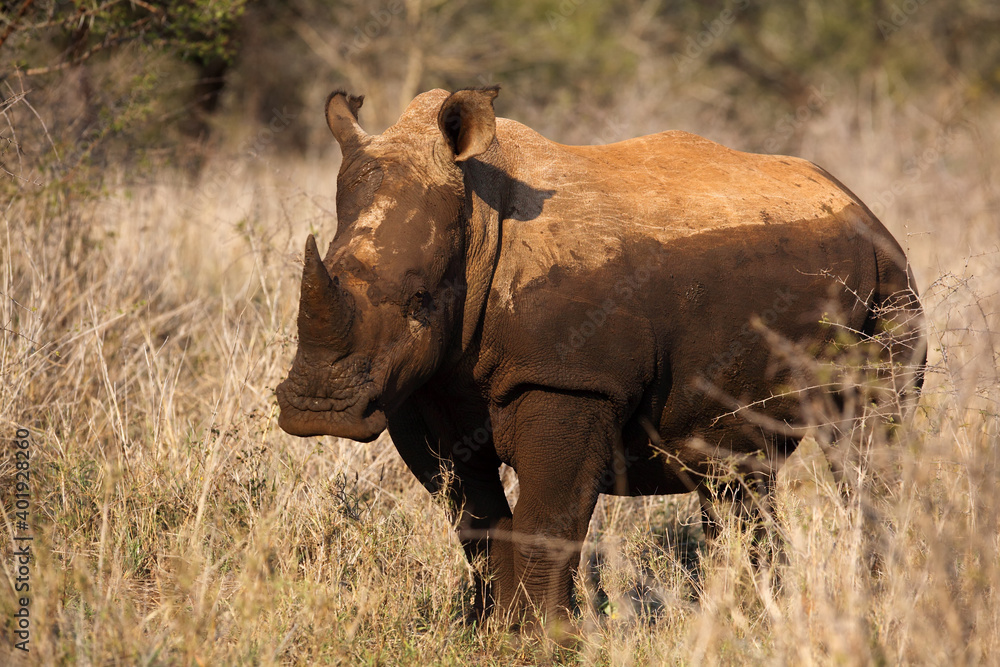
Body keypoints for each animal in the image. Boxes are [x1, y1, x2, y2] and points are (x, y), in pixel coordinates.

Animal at [277, 86, 924, 626]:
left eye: (419, 301)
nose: (316, 411)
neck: (478, 221)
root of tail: (856, 202)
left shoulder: (573, 380)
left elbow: (549, 519)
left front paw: (541, 641)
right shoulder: (419, 390)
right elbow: (478, 522)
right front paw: (492, 634)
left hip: (891, 280)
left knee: (865, 444)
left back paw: (875, 604)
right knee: (736, 472)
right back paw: (756, 615)